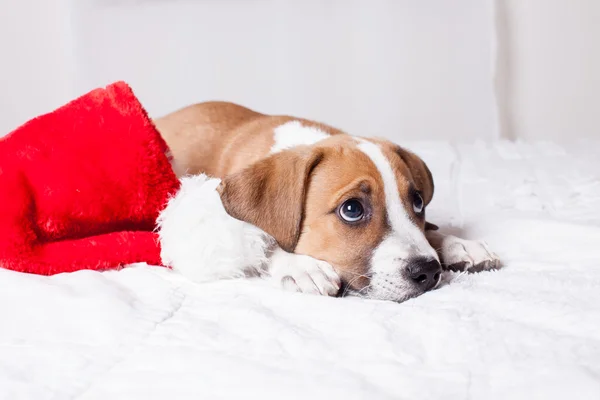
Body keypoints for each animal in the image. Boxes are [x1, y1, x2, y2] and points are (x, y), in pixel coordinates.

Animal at [154, 101, 496, 302]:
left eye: (418, 203)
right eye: (352, 209)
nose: (427, 271)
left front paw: (456, 243)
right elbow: (264, 240)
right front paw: (301, 266)